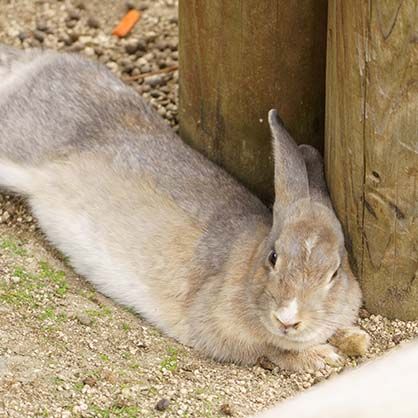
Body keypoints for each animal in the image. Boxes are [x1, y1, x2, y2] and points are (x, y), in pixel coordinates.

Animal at [0, 45, 366, 370]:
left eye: (334, 273)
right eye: (273, 257)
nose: (288, 319)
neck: (247, 267)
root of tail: (34, 65)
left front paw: (351, 339)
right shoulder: (220, 328)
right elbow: (272, 351)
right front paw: (321, 357)